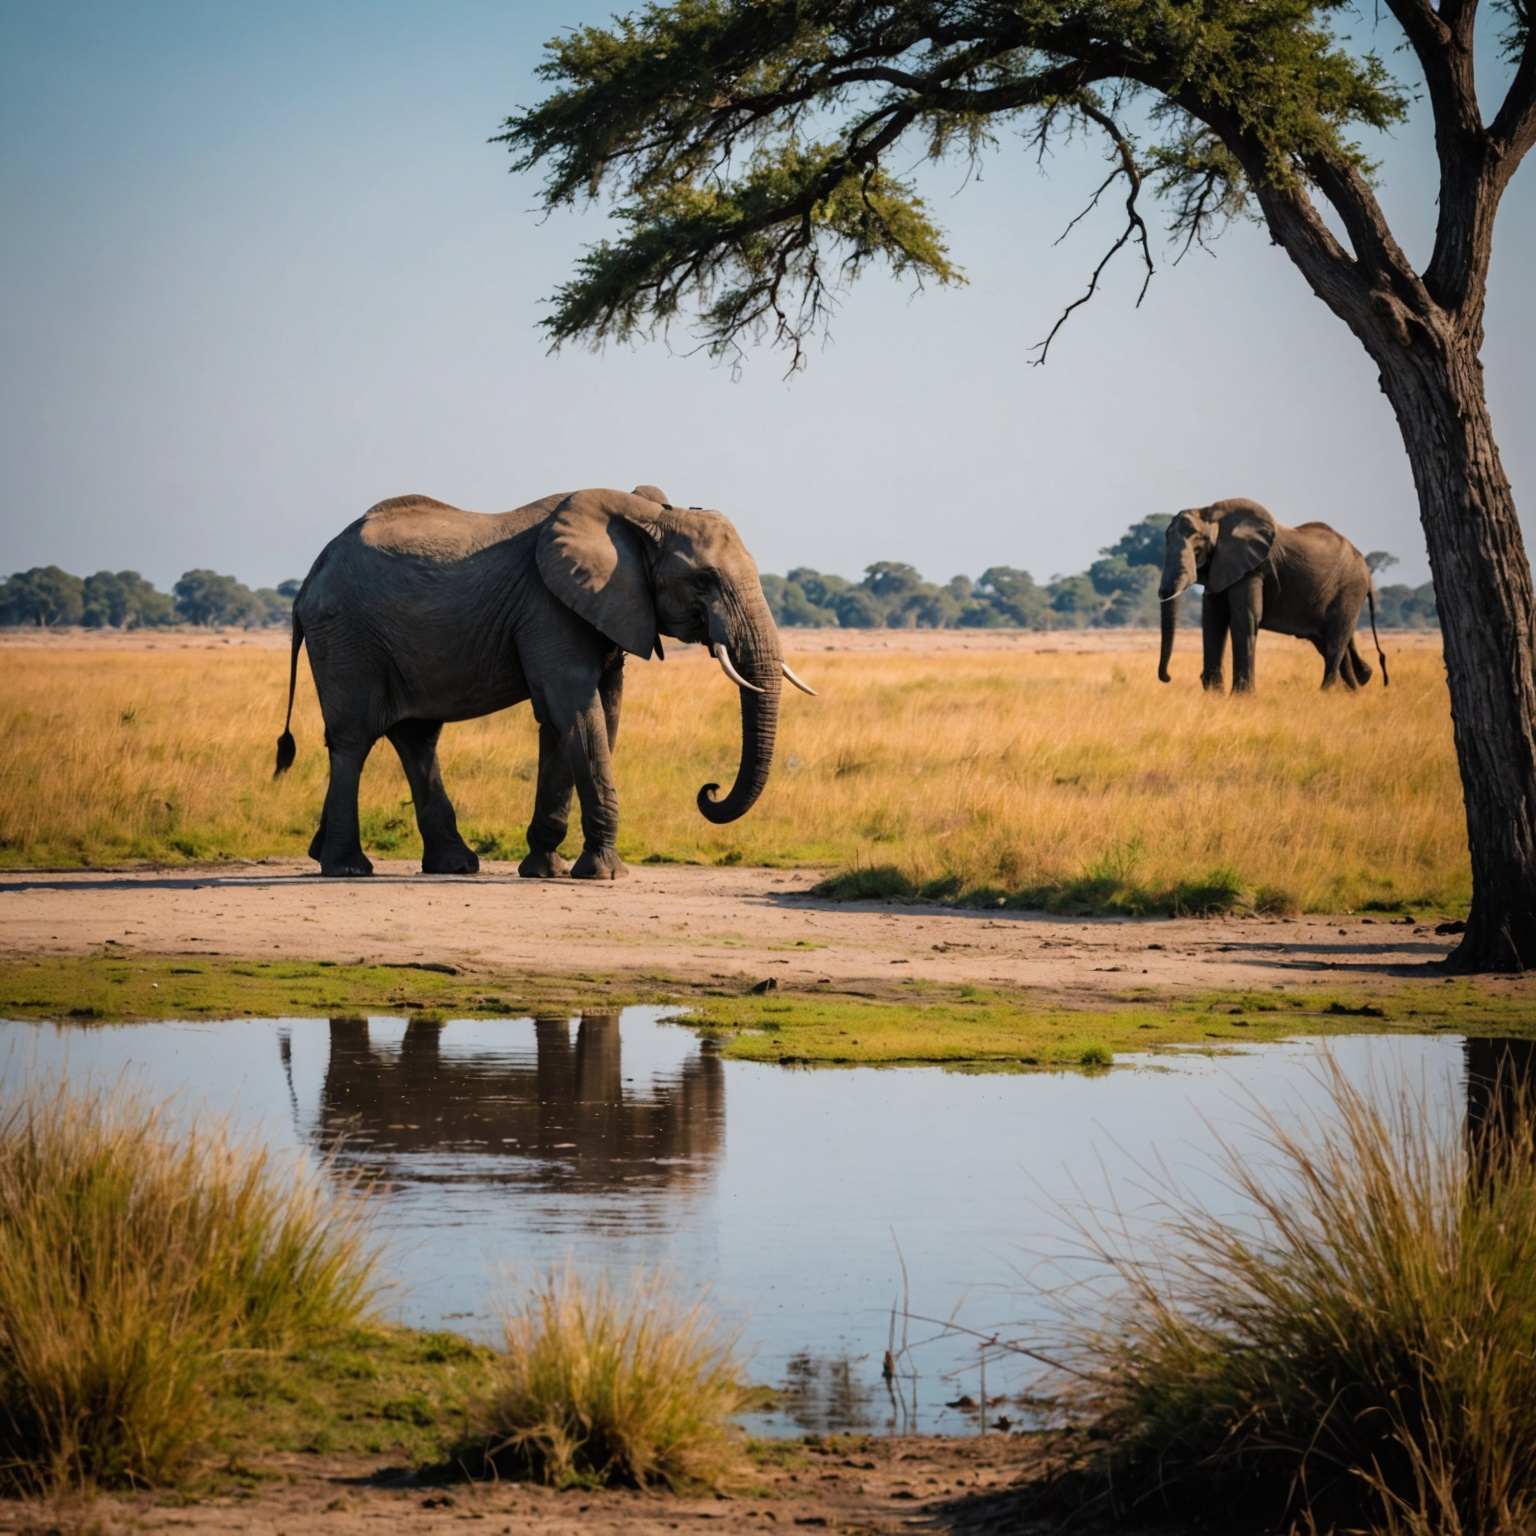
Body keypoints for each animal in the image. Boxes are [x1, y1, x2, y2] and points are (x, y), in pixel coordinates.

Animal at [273, 485, 817, 884]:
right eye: (703, 580)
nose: (709, 790)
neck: (644, 516)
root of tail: (310, 576)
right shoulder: (549, 608)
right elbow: (575, 710)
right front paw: (605, 875)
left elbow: (590, 717)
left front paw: (545, 870)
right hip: (347, 635)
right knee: (354, 738)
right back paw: (346, 867)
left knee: (417, 737)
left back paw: (446, 864)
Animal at [1155, 497, 1394, 697]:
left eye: (1198, 548)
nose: (1167, 677)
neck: (1212, 512)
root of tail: (1367, 571)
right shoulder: (1221, 566)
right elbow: (1213, 620)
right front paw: (1214, 696)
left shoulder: (1254, 568)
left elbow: (1244, 619)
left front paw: (1242, 698)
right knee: (1328, 642)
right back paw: (1354, 690)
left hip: (1350, 589)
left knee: (1336, 641)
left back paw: (1326, 694)